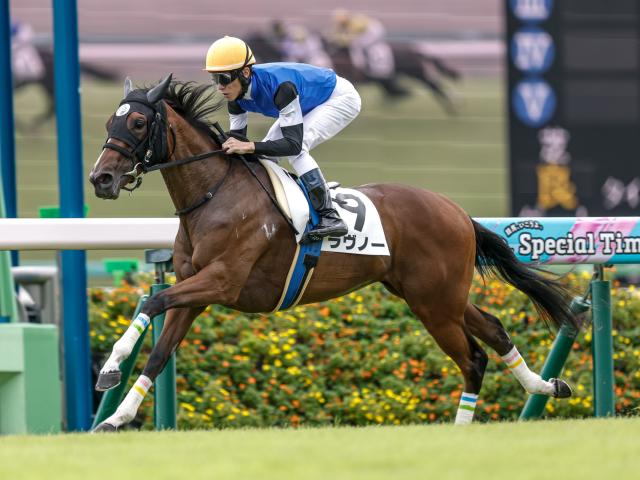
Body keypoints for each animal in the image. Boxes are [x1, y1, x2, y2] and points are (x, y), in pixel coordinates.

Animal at [88, 75, 578, 431]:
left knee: (473, 357)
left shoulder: (221, 281)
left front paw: (109, 368)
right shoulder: (196, 290)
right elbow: (159, 351)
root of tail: (456, 210)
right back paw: (547, 386)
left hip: (434, 302)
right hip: (432, 295)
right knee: (493, 330)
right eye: (109, 123)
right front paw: (117, 416)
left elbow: (153, 301)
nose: (101, 179)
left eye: (137, 123)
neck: (214, 195)